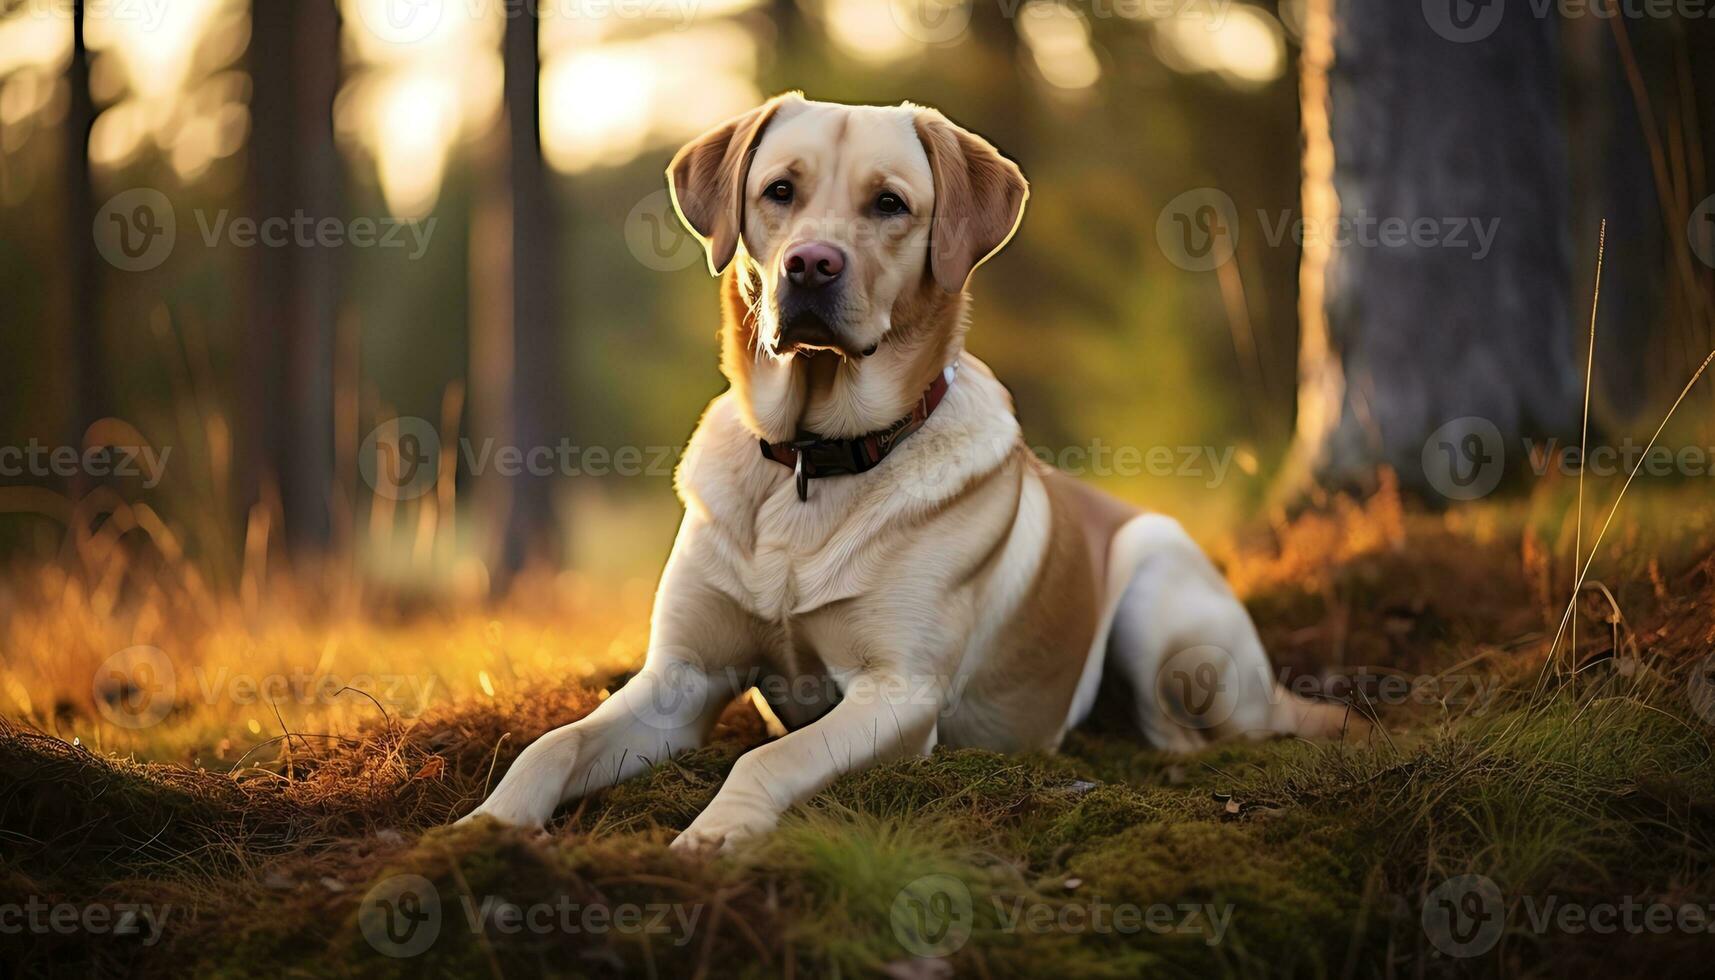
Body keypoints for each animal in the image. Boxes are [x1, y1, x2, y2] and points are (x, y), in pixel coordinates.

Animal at [466, 95, 1351, 854]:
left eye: (889, 204)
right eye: (778, 191)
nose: (810, 265)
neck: (813, 459)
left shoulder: (899, 693)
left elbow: (770, 756)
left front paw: (718, 833)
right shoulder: (679, 681)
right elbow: (554, 743)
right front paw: (485, 828)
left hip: (1157, 590)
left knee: (1200, 729)